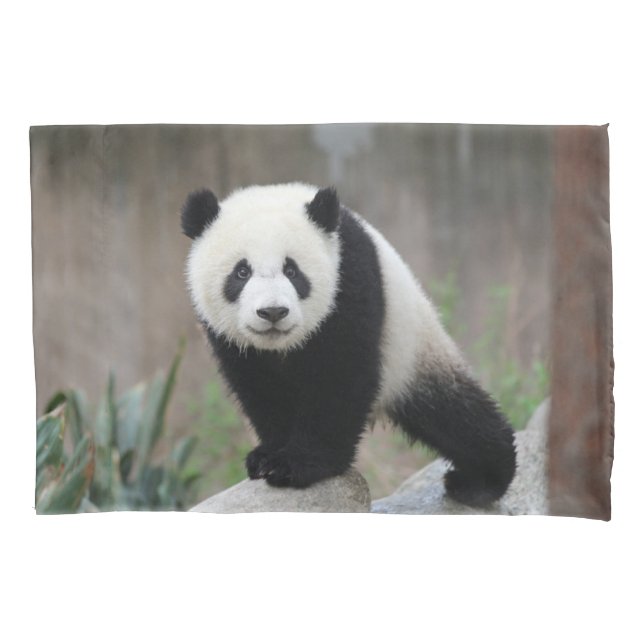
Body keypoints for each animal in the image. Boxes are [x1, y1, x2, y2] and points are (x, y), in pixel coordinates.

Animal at [181, 182, 516, 507]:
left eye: (292, 271)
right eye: (241, 272)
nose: (273, 312)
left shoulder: (350, 280)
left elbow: (341, 377)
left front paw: (299, 464)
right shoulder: (232, 340)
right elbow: (260, 388)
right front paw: (267, 456)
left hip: (412, 349)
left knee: (455, 414)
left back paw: (480, 482)